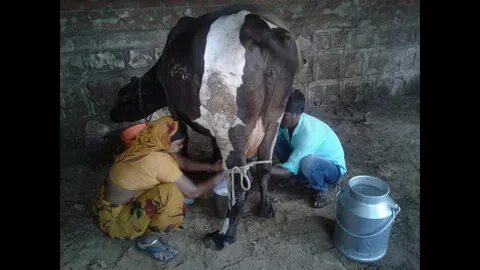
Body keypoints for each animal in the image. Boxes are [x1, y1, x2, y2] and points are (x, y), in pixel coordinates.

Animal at [109, 5, 300, 250]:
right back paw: (265, 208)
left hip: (229, 127)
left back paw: (222, 236)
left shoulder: (176, 111)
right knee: (264, 166)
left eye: (121, 96)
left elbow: (183, 140)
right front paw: (213, 164)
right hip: (274, 118)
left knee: (239, 184)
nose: (111, 113)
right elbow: (213, 146)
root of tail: (261, 27)